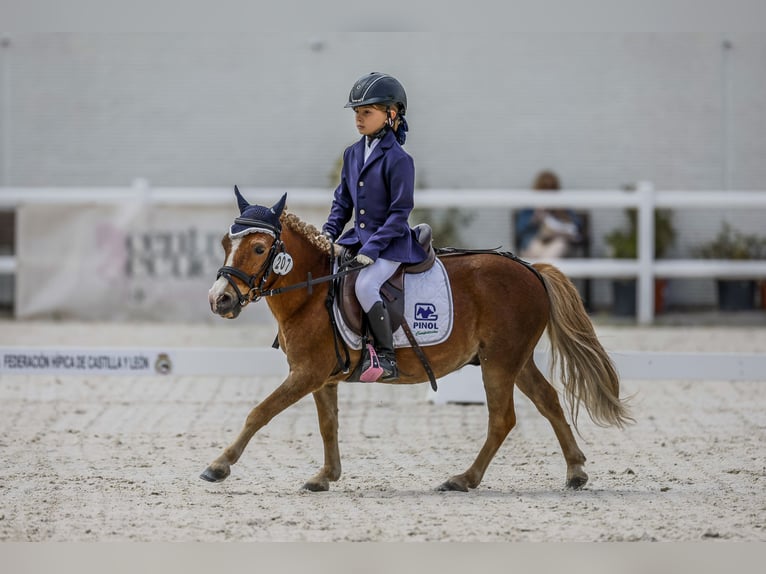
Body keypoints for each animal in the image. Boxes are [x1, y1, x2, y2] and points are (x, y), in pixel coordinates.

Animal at [202, 191, 632, 492]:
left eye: (259, 248)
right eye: (225, 244)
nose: (219, 299)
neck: (314, 291)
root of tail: (532, 269)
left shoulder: (307, 373)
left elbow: (259, 412)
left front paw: (219, 466)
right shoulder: (321, 377)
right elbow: (328, 425)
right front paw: (326, 475)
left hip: (500, 362)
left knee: (502, 419)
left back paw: (463, 479)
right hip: (516, 361)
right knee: (548, 401)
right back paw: (575, 470)